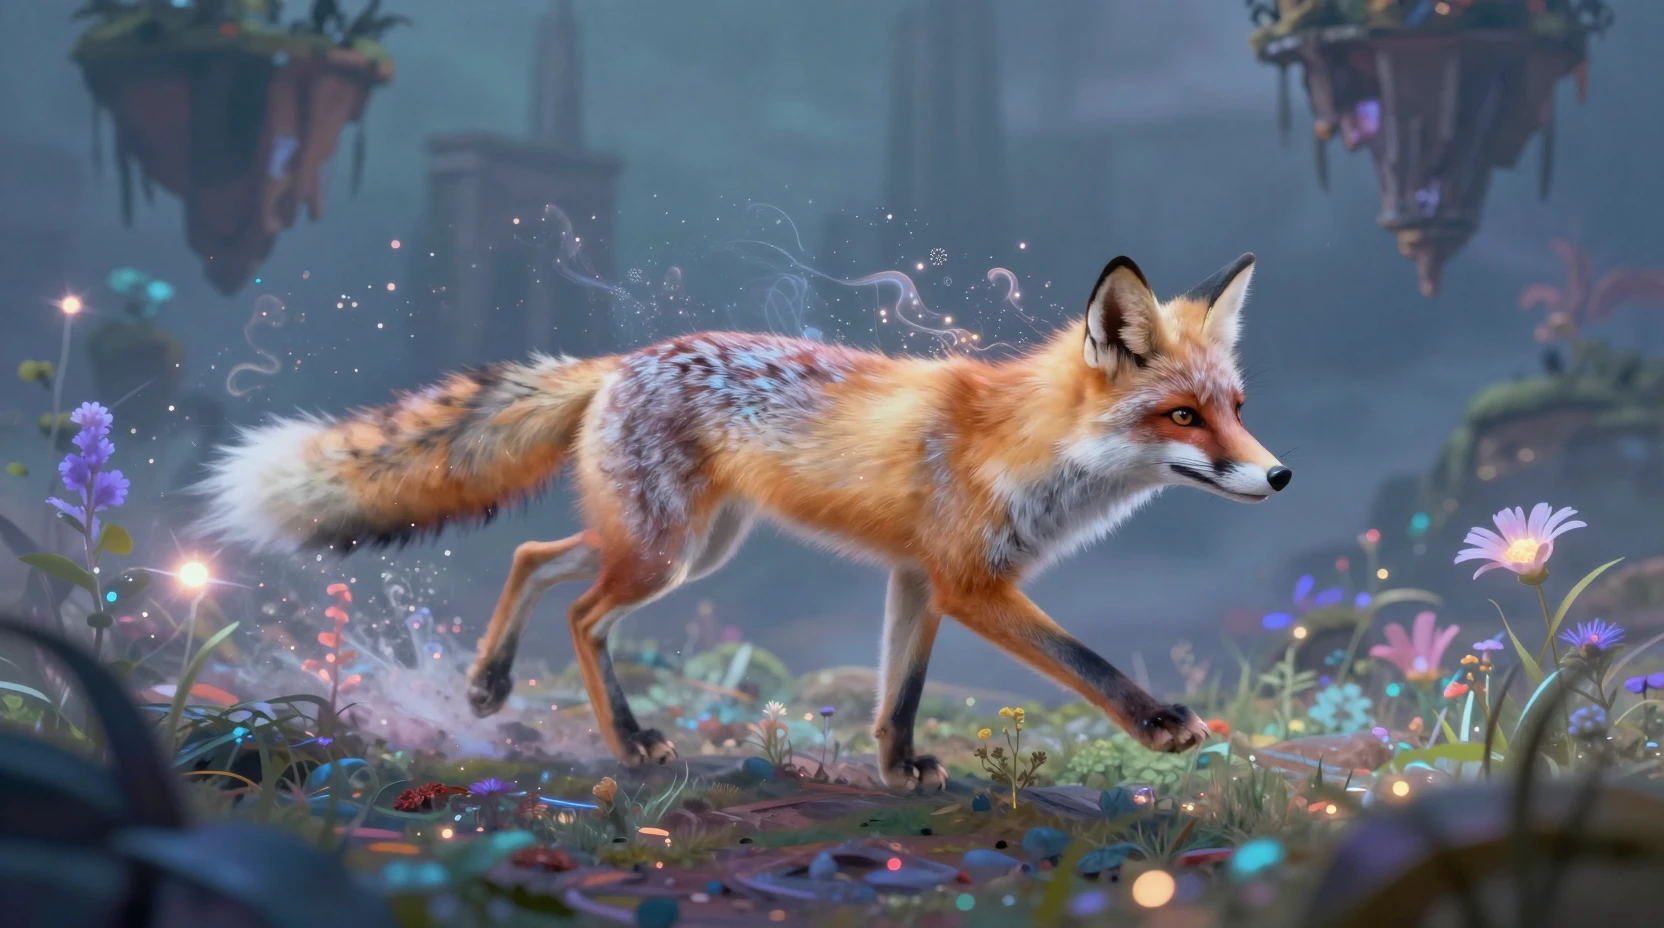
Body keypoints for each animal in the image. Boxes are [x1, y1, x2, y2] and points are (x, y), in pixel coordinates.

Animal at [195, 253, 1289, 789]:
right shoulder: (971, 582)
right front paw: (1160, 723)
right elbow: (1084, 661)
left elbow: (899, 690)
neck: (1029, 447)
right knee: (581, 612)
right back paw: (628, 741)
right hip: (666, 556)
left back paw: (488, 683)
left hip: (682, 546)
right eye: (1181, 416)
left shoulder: (917, 579)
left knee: (535, 552)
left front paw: (897, 768)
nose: (1279, 475)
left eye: (1235, 403)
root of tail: (620, 360)